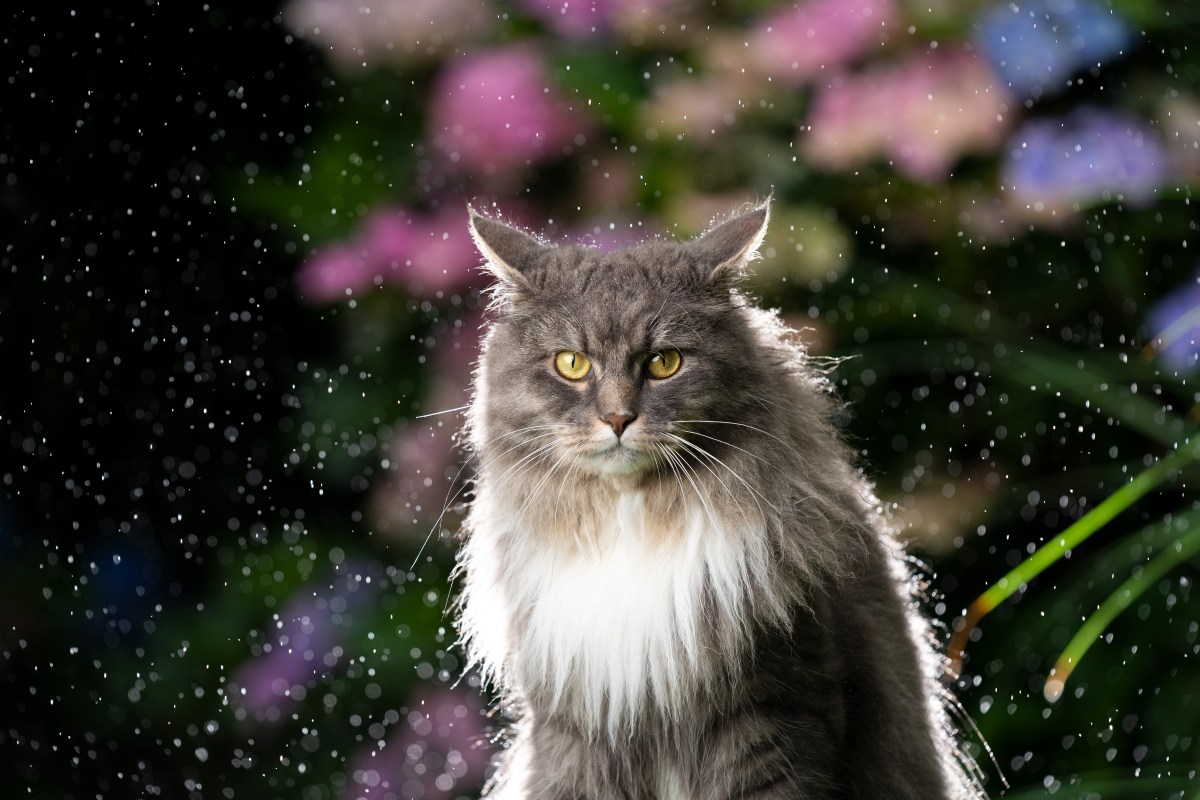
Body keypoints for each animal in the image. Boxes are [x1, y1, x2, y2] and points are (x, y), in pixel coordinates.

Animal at [451, 201, 984, 800]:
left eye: (664, 363)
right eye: (572, 364)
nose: (617, 418)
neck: (633, 527)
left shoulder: (770, 715)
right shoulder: (574, 729)